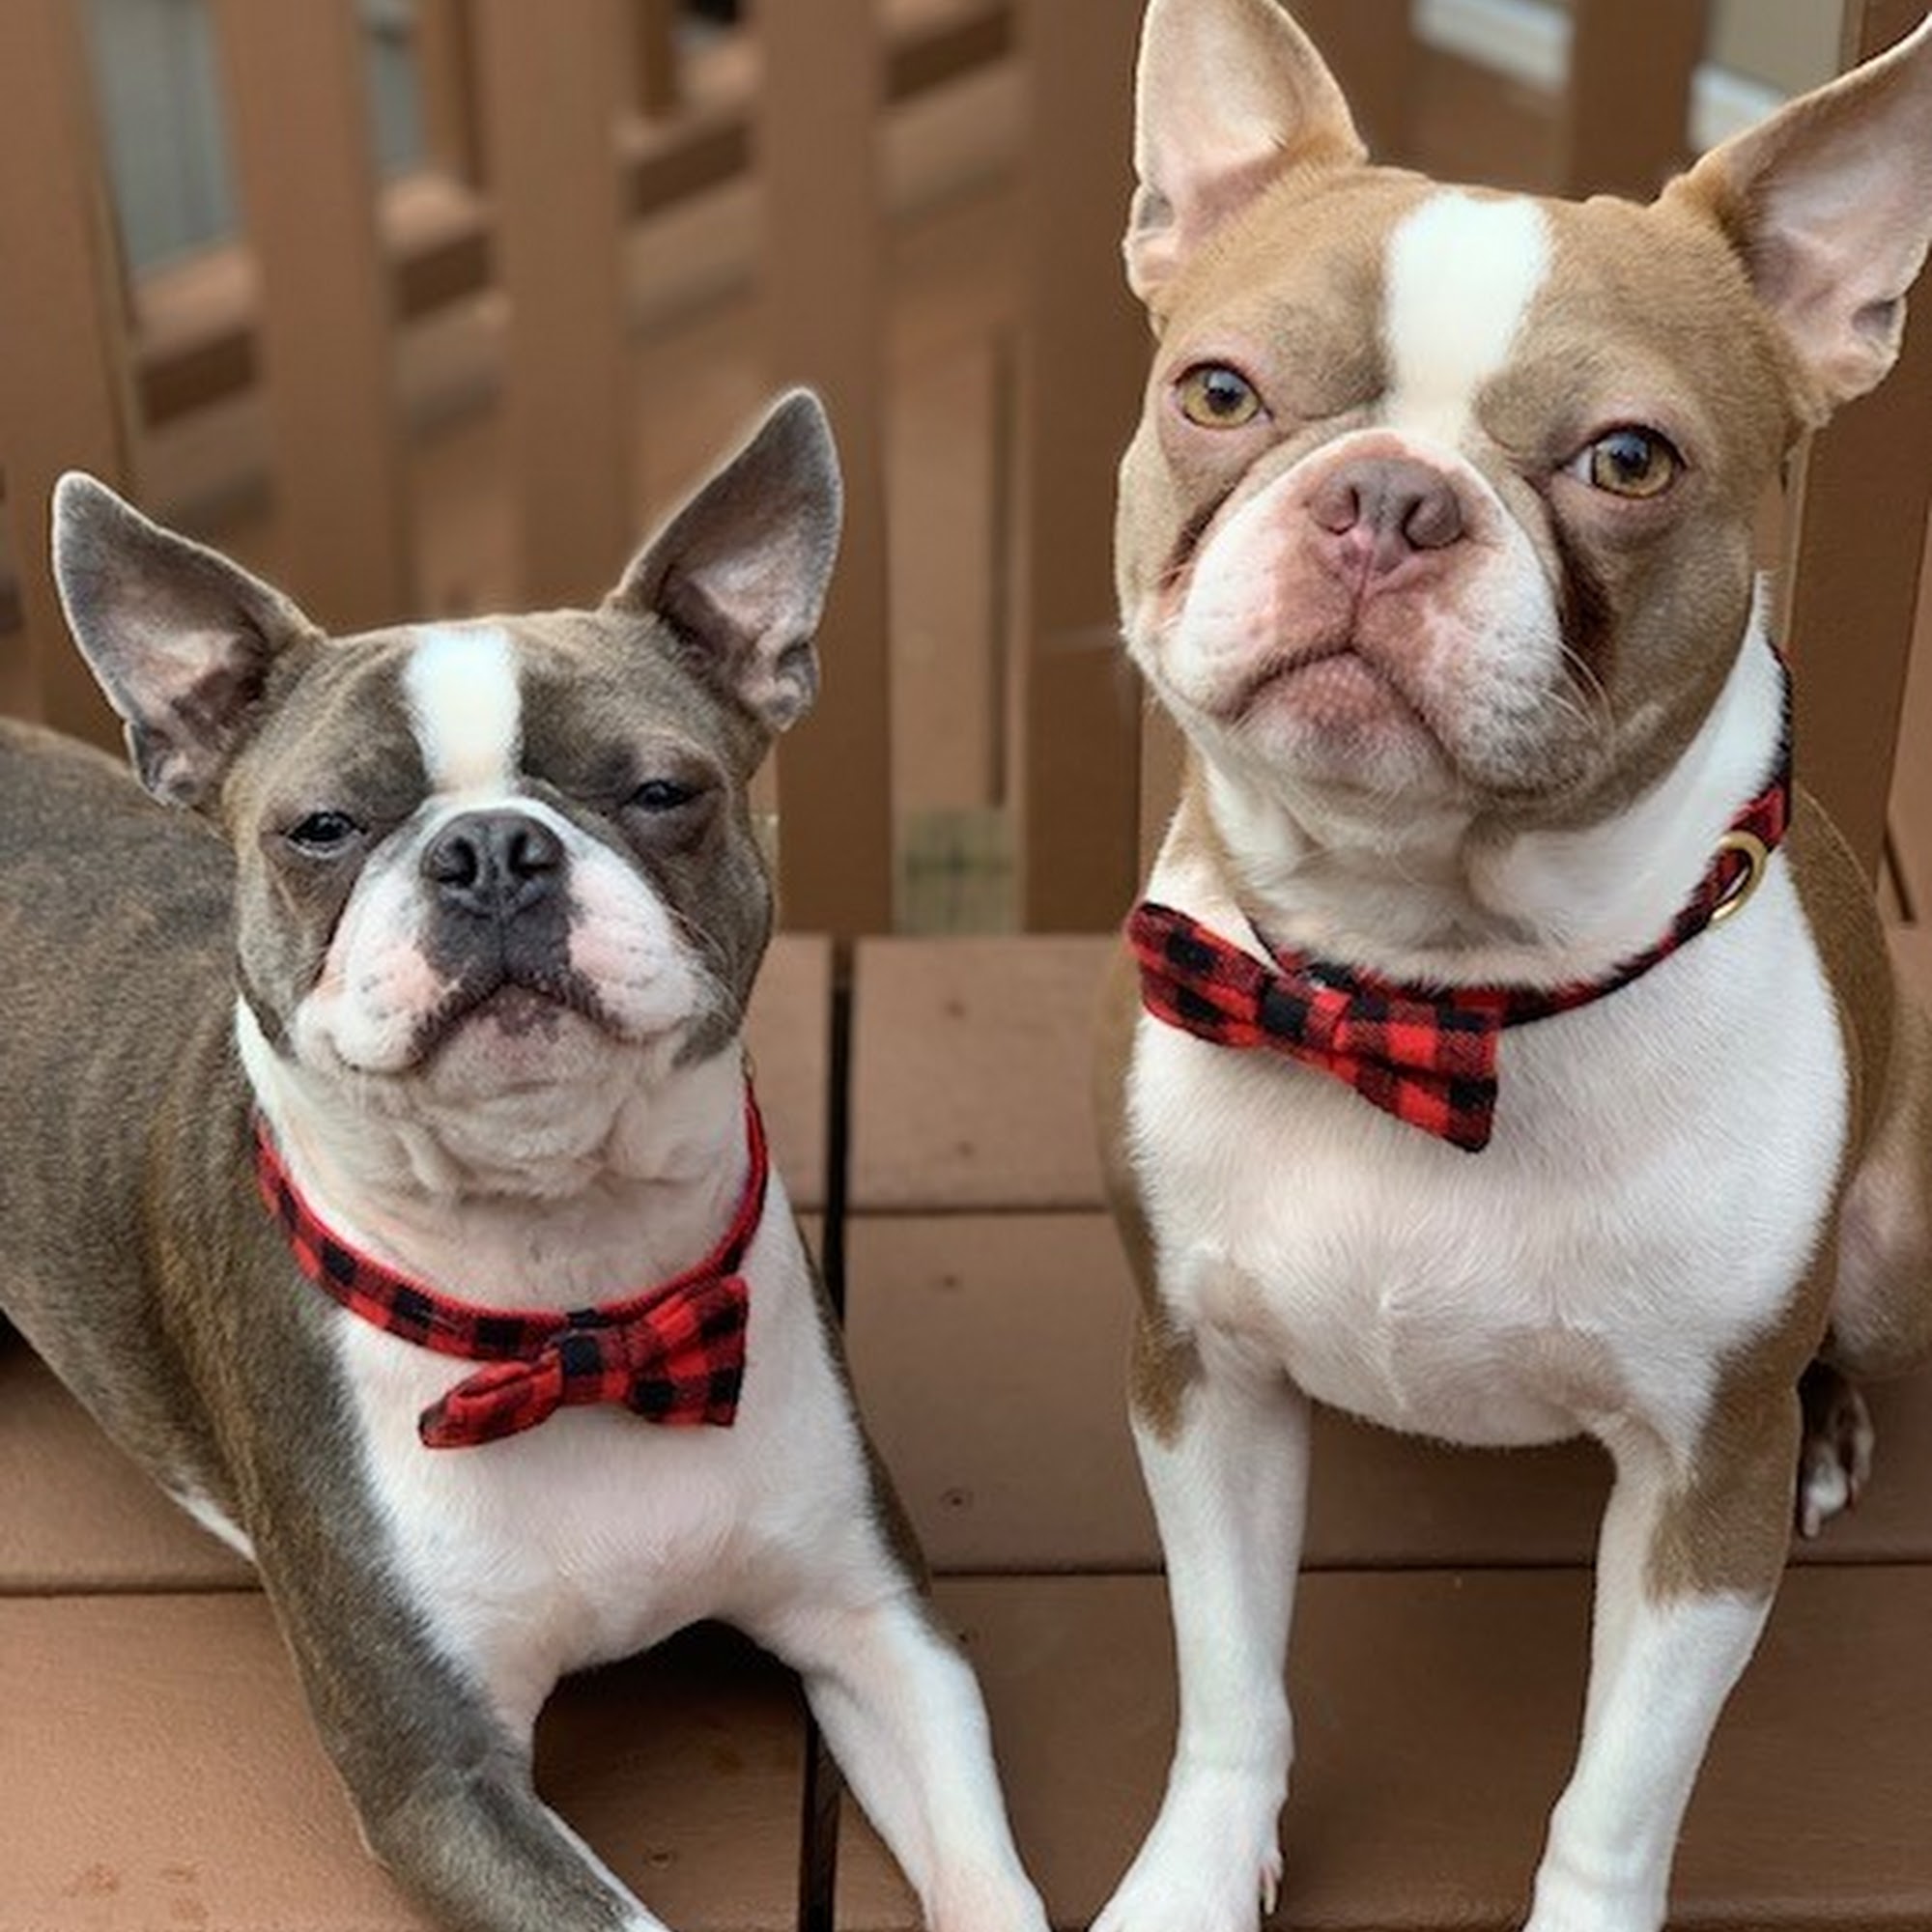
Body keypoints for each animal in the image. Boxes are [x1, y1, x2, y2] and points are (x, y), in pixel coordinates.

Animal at [0, 393, 1048, 1932]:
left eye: (664, 791)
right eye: (323, 827)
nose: (492, 846)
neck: (570, 1300)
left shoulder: (882, 1623)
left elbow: (989, 1878)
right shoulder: (442, 1785)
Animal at [1094, 6, 1932, 1929]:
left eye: (1628, 461)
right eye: (1219, 394)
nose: (1387, 498)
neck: (1421, 993)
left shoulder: (1702, 1506)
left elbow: (1618, 1796)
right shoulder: (1199, 1381)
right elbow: (1229, 1690)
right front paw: (1192, 1880)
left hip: (1899, 1243)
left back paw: (1836, 1428)